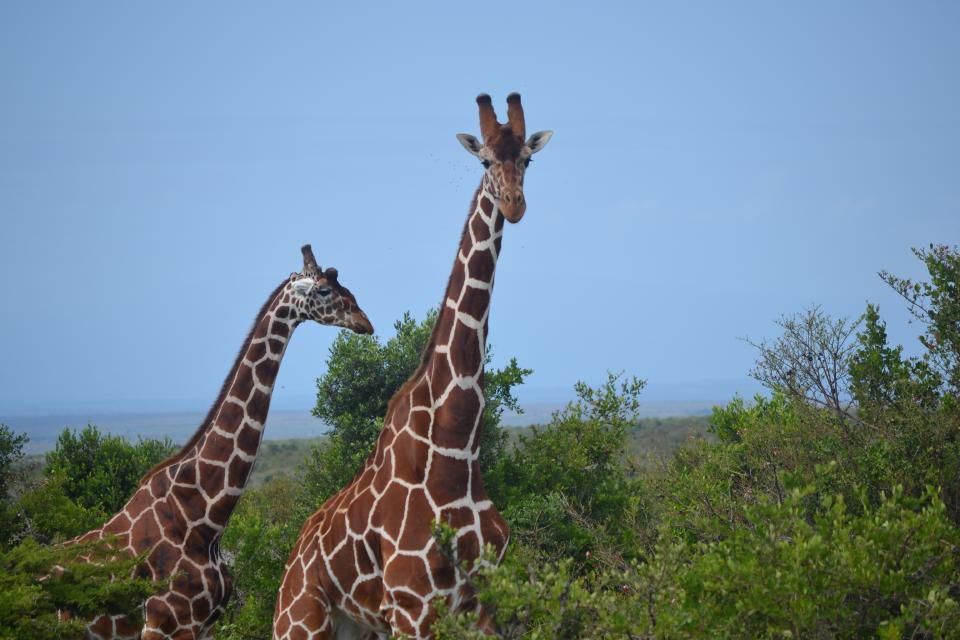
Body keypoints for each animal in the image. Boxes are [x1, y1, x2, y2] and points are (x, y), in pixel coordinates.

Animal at [273, 93, 553, 640]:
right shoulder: (412, 606)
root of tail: (291, 561)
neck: (456, 450)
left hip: (356, 627)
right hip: (300, 621)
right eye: (484, 160)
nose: (514, 204)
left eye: (528, 160)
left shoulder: (482, 604)